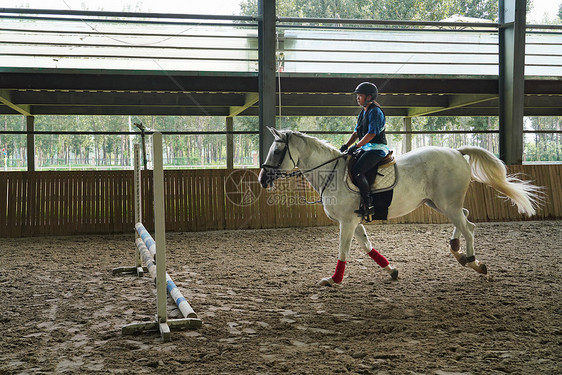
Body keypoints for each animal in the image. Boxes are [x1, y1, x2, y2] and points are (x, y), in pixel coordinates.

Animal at [256, 128, 540, 286]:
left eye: (277, 152)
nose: (262, 179)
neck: (331, 173)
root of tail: (457, 152)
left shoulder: (346, 222)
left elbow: (344, 251)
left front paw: (333, 280)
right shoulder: (354, 221)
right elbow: (368, 247)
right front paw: (391, 270)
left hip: (447, 204)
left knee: (469, 227)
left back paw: (471, 260)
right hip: (440, 203)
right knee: (467, 219)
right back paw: (458, 250)